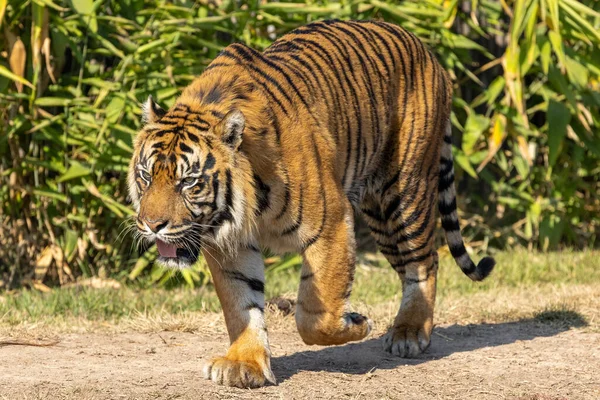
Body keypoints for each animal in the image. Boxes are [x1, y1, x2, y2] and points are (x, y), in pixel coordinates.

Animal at [126, 18, 492, 388]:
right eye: (145, 175)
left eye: (188, 181)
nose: (152, 225)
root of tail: (427, 50)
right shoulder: (230, 242)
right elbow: (241, 304)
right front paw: (244, 363)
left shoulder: (332, 223)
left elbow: (316, 314)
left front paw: (357, 323)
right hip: (380, 214)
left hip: (401, 195)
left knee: (425, 261)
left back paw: (409, 332)